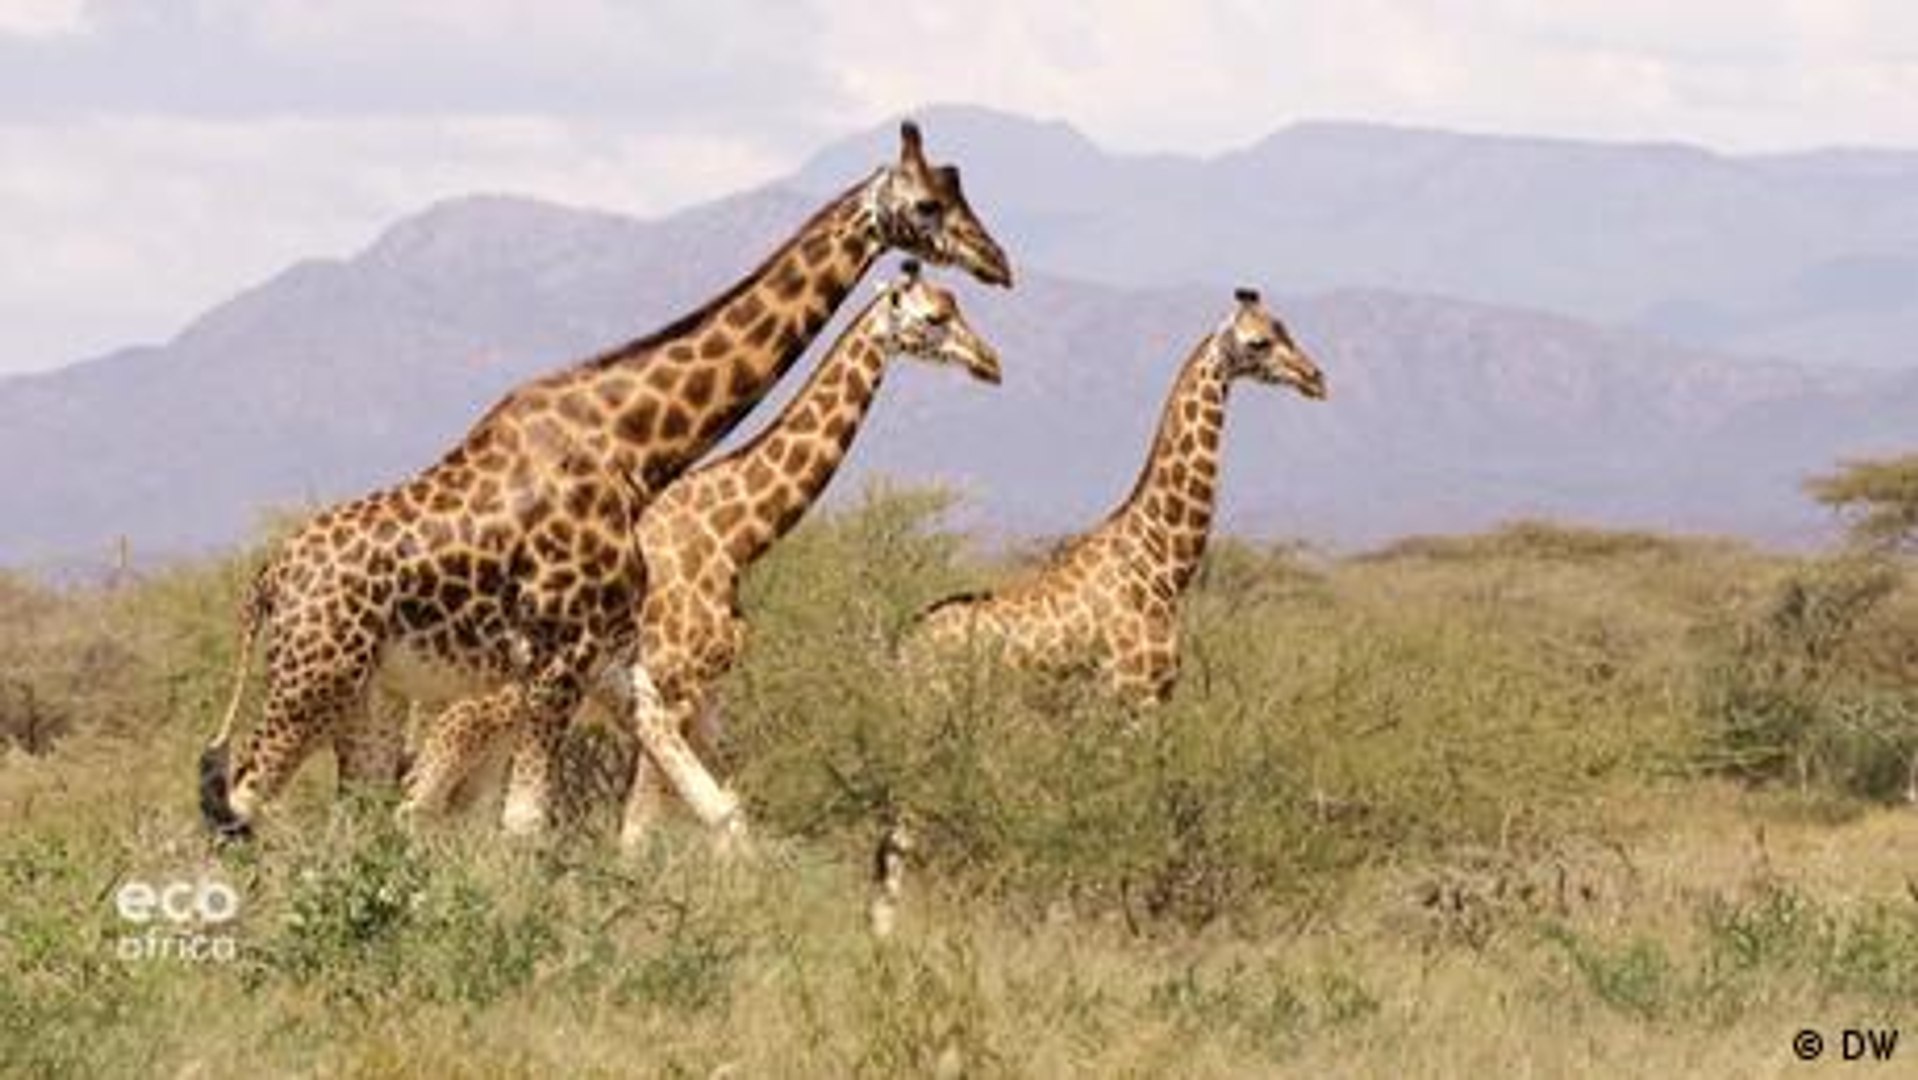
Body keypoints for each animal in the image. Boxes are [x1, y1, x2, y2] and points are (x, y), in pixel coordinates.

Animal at [403, 260, 1003, 848]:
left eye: (957, 303)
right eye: (934, 317)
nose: (989, 362)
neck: (734, 537)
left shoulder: (710, 701)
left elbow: (731, 814)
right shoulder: (673, 688)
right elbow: (637, 831)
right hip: (473, 711)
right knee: (418, 799)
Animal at [908, 289, 1325, 706]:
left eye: (1286, 330)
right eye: (1259, 342)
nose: (1316, 378)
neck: (1163, 567)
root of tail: (904, 648)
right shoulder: (1135, 694)